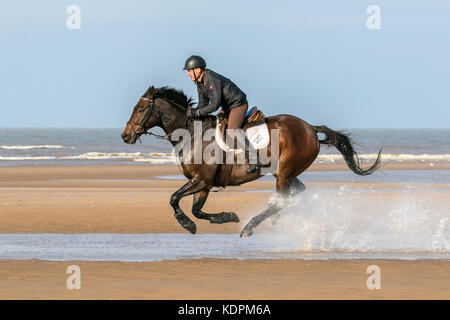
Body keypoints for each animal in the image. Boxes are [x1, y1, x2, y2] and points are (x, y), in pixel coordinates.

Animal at [121, 86, 382, 236]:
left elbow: (174, 199)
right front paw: (227, 217)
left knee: (282, 199)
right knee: (294, 193)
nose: (125, 136)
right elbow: (197, 210)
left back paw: (250, 226)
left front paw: (188, 225)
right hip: (286, 173)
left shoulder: (201, 180)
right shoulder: (203, 184)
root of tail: (310, 128)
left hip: (284, 172)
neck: (192, 134)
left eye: (141, 108)